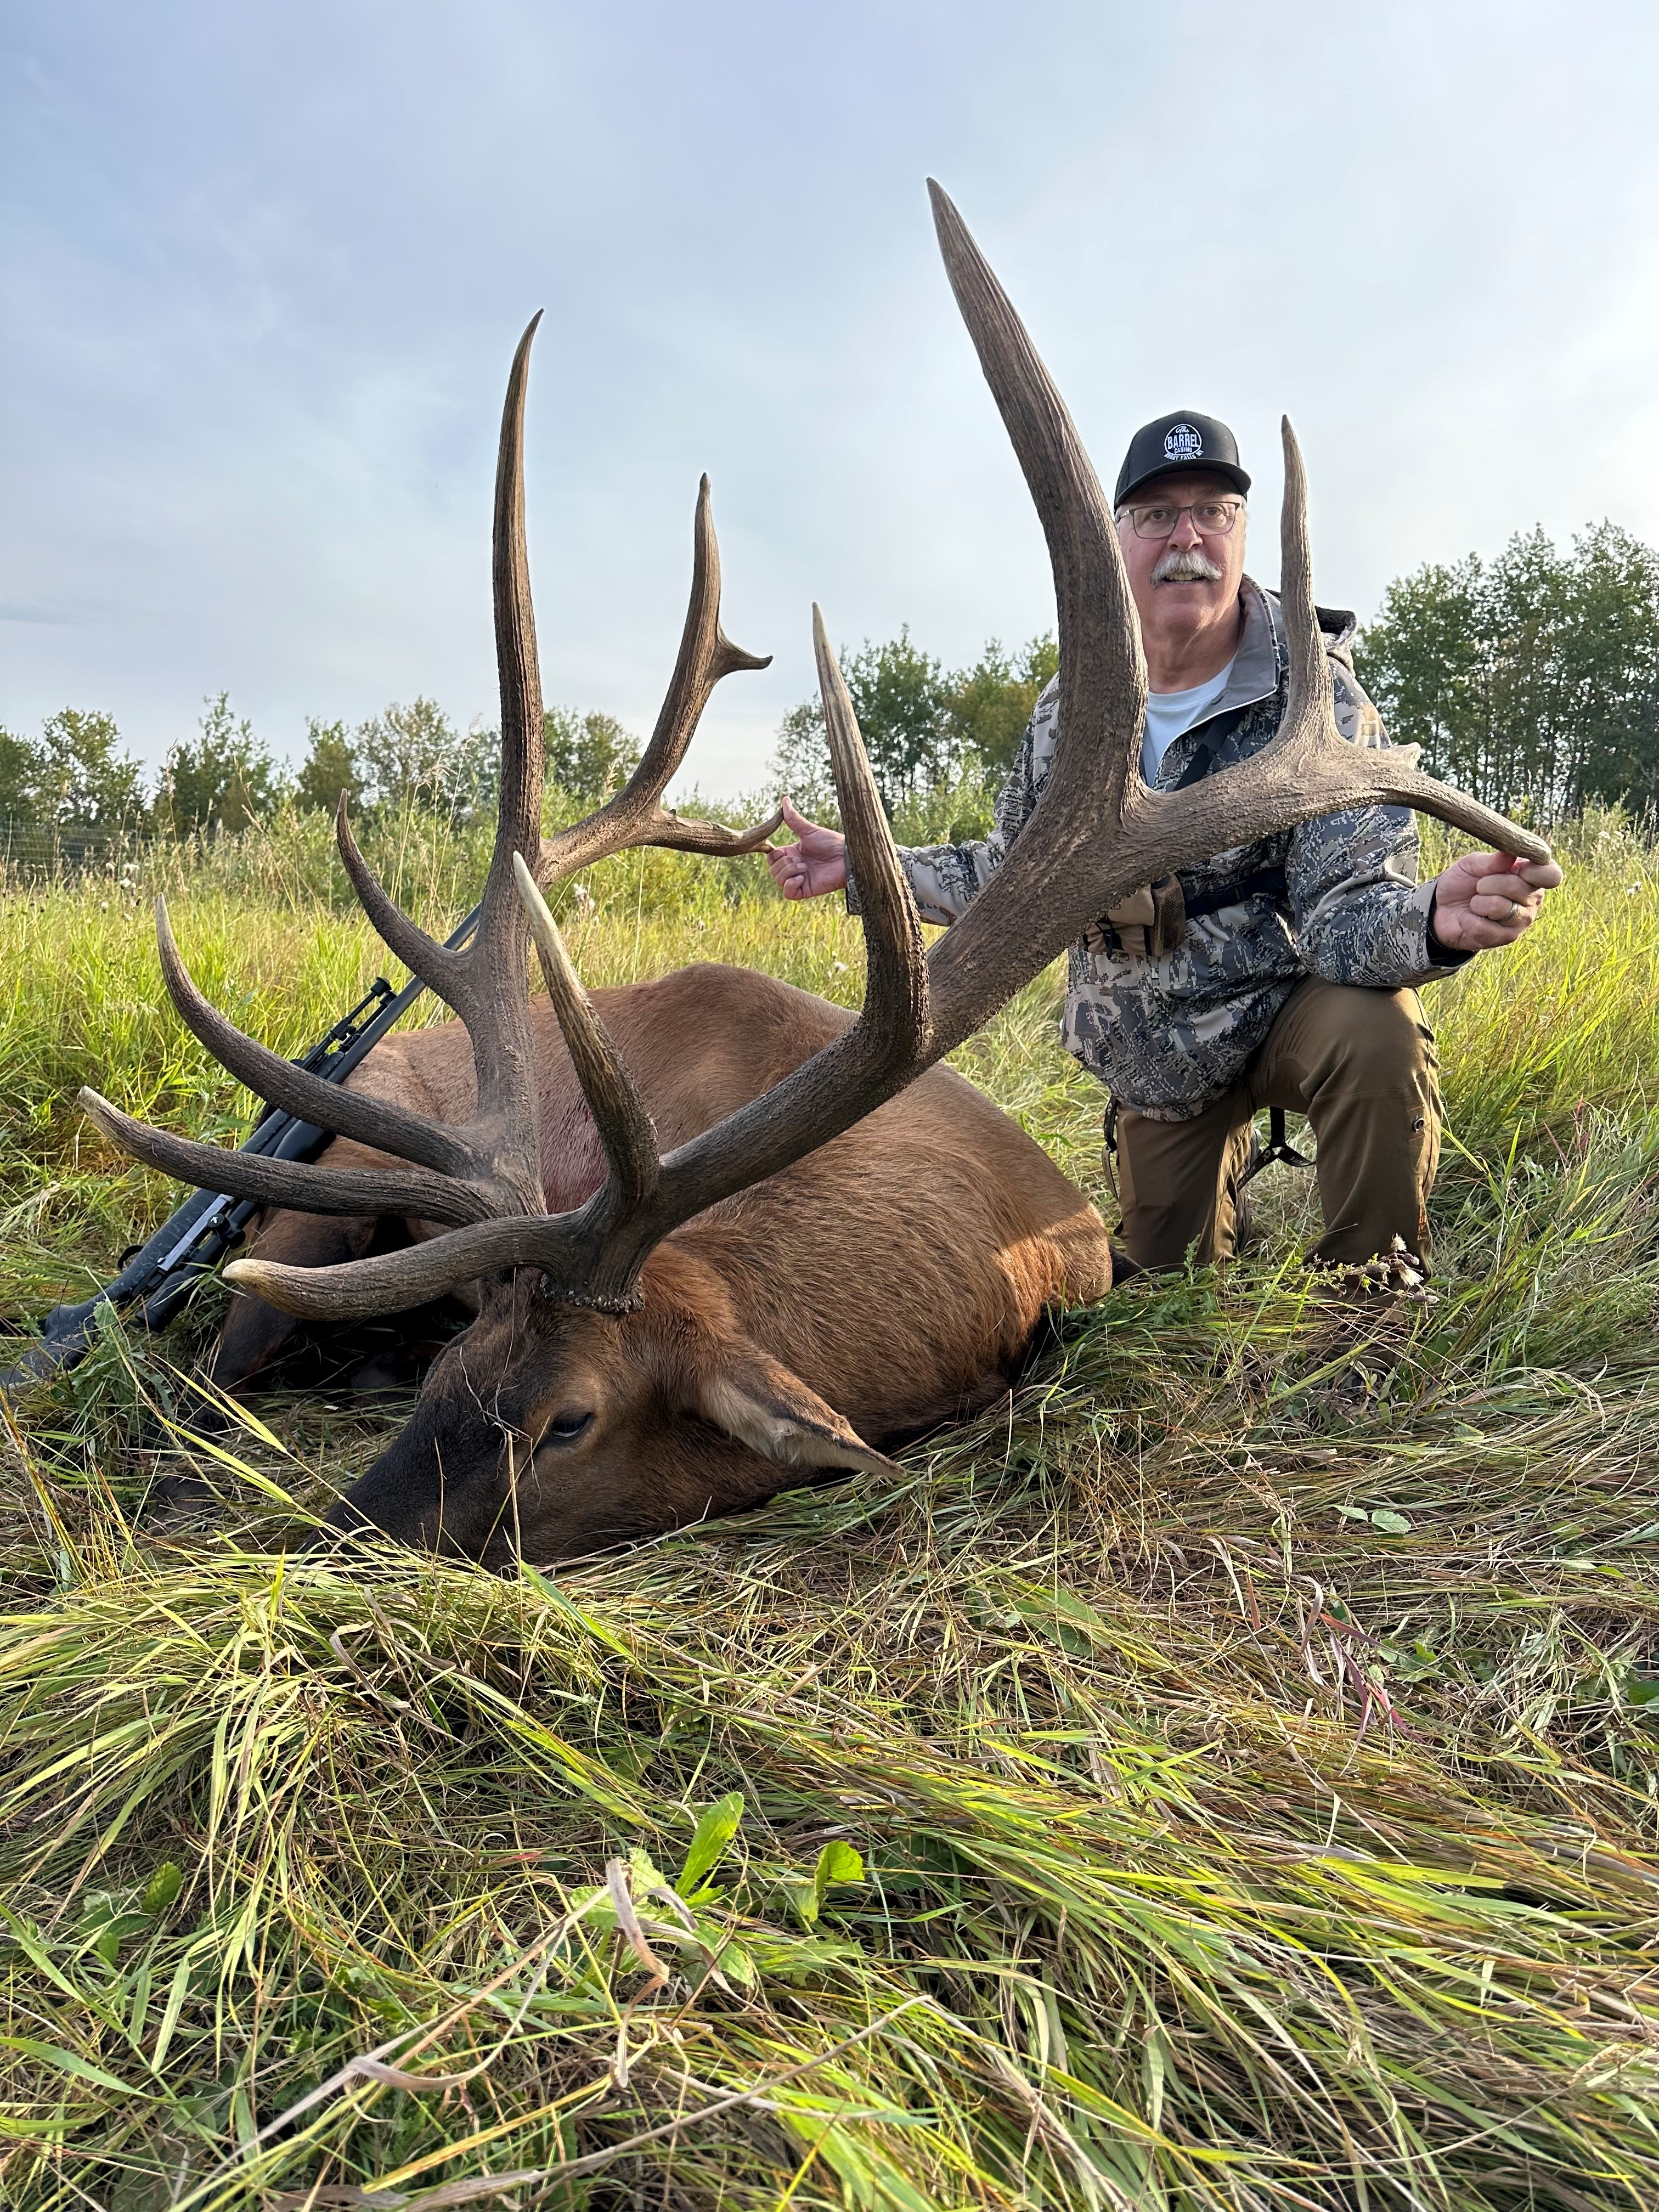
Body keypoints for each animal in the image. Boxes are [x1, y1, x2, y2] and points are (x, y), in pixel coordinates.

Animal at [78, 184, 1548, 1565]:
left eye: (567, 1420)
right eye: (454, 1362)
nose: (342, 1538)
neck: (991, 1257)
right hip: (320, 1206)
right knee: (214, 1360)